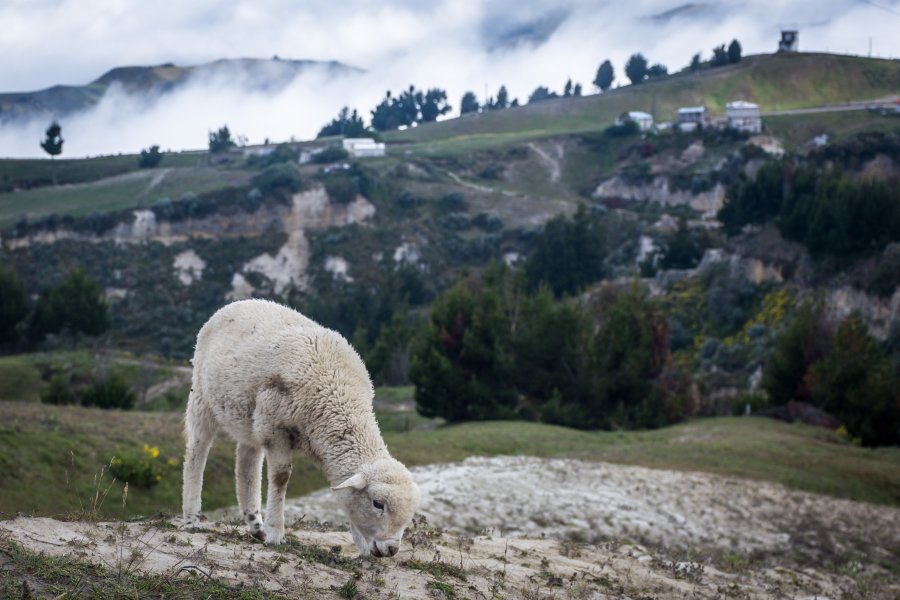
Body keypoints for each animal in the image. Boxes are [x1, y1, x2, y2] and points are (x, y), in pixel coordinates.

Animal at [183, 300, 422, 556]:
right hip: (202, 396)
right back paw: (191, 518)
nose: (391, 549)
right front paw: (276, 533)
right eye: (378, 504)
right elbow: (281, 477)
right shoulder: (275, 427)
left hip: (249, 419)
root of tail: (238, 303)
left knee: (247, 462)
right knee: (197, 451)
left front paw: (362, 546)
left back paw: (255, 524)